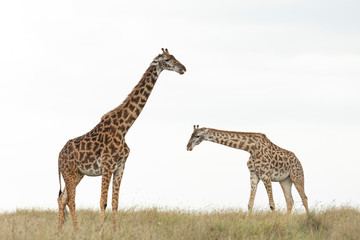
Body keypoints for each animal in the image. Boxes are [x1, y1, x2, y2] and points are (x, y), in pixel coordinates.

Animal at [57, 47, 186, 232]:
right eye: (167, 59)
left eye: (174, 57)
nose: (183, 68)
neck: (124, 128)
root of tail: (58, 157)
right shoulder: (107, 166)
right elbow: (103, 202)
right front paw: (100, 230)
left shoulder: (120, 167)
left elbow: (115, 202)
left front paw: (114, 230)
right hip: (69, 172)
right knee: (71, 200)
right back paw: (76, 230)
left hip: (78, 173)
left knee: (63, 199)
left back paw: (59, 231)